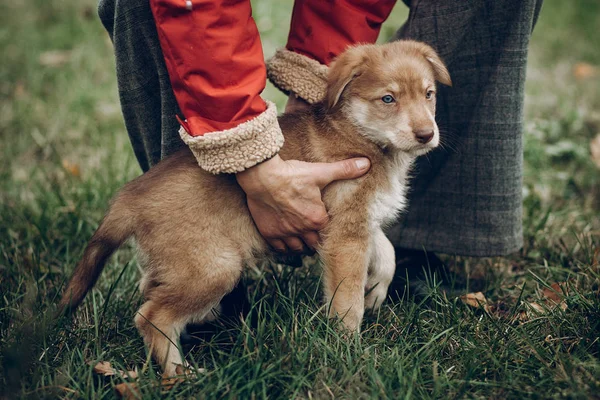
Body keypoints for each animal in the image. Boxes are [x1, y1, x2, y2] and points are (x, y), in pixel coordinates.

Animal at [59, 39, 450, 376]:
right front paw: (347, 350)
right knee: (152, 316)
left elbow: (386, 251)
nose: (426, 135)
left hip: (182, 264)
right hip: (214, 267)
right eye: (388, 98)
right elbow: (347, 301)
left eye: (428, 94)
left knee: (150, 289)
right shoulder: (345, 235)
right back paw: (181, 374)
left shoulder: (359, 222)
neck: (365, 138)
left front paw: (377, 288)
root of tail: (130, 196)